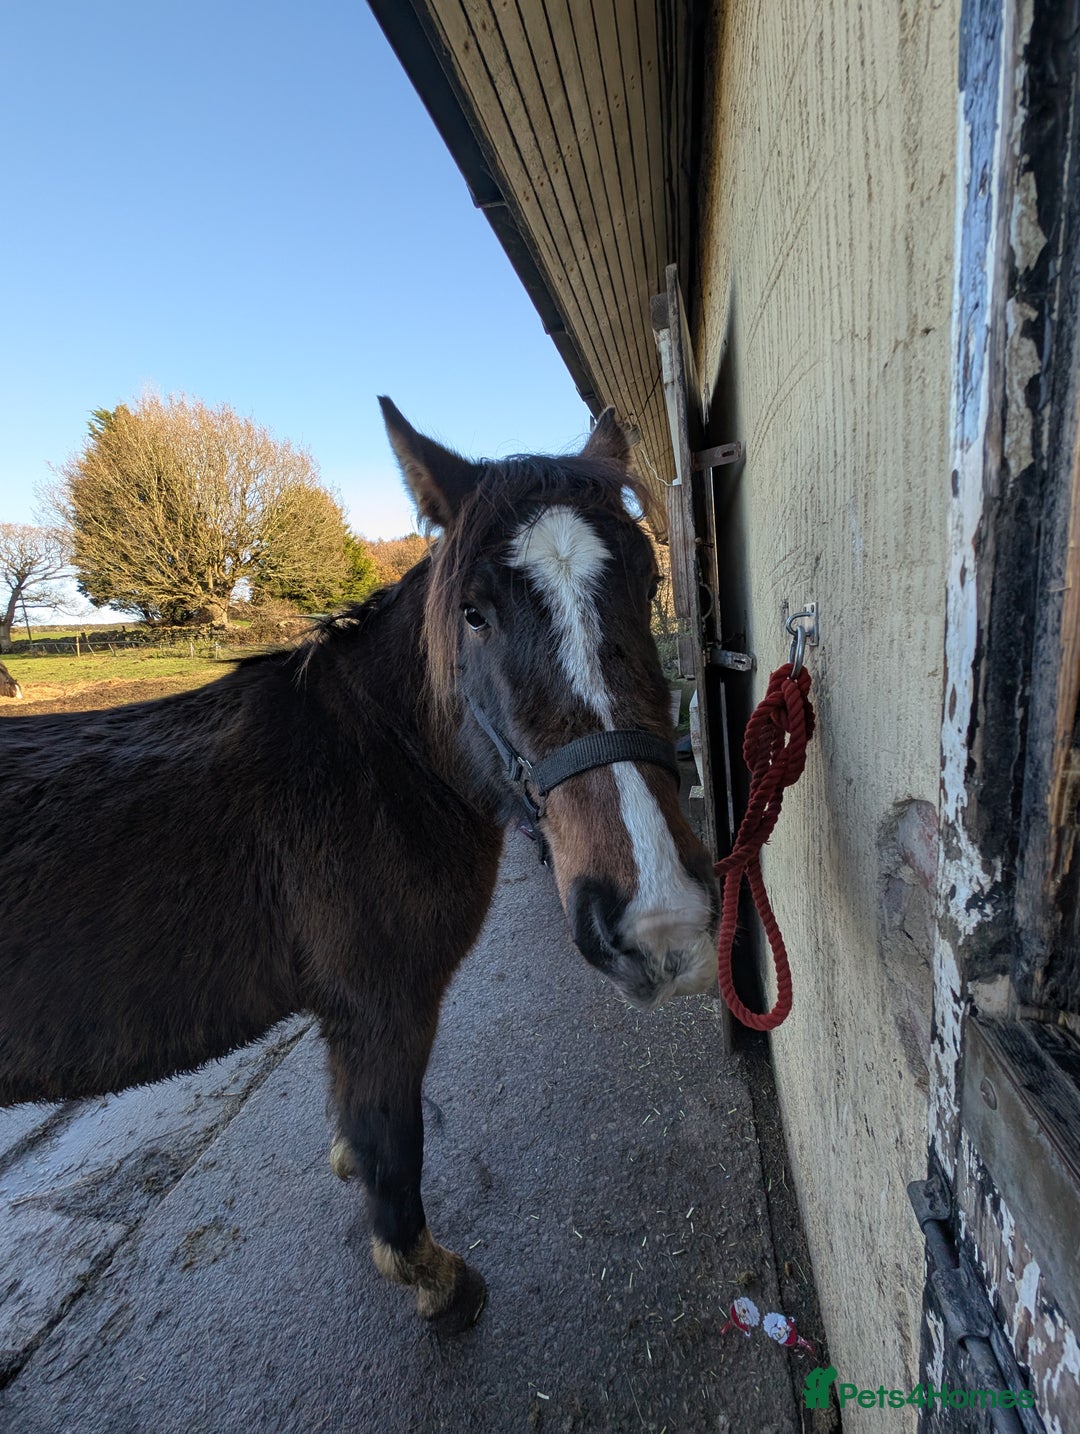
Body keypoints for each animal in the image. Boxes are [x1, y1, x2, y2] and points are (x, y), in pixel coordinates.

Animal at [0, 402, 719, 1332]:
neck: (374, 766)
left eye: (648, 581)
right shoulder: (383, 1004)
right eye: (474, 614)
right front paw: (427, 1273)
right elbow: (394, 1141)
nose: (661, 921)